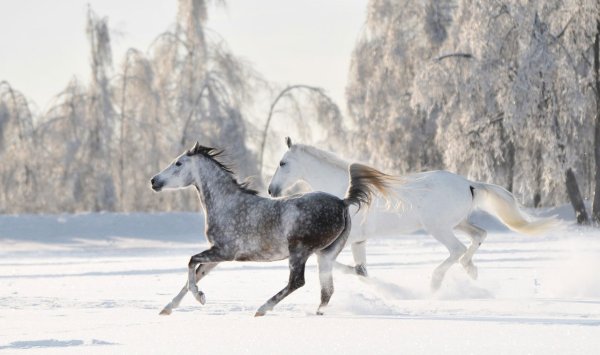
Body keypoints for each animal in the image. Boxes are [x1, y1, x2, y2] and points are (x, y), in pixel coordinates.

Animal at [268, 138, 556, 290]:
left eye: (283, 162)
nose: (271, 190)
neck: (343, 193)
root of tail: (468, 183)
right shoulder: (359, 241)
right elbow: (361, 269)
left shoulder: (348, 240)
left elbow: (336, 264)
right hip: (458, 223)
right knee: (479, 236)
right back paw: (470, 271)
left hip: (438, 228)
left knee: (458, 249)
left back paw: (436, 281)